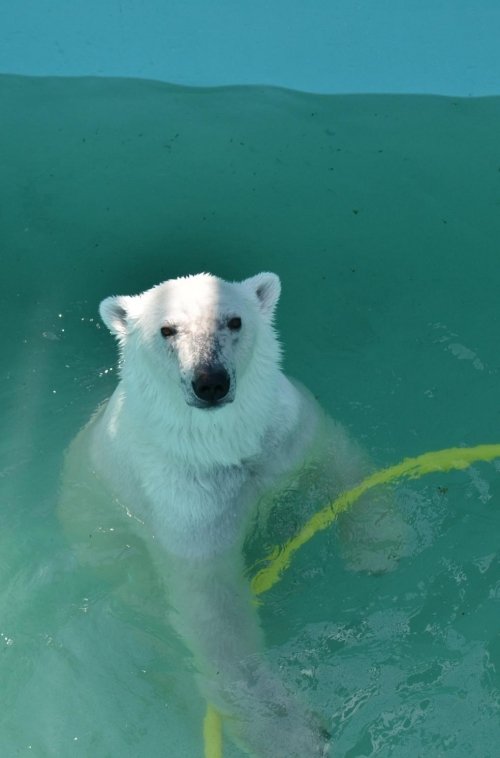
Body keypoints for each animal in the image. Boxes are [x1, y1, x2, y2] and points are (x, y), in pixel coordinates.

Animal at [62, 274, 406, 758]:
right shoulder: (182, 502)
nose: (211, 382)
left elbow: (339, 460)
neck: (224, 446)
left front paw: (379, 545)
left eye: (234, 320)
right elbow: (214, 614)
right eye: (166, 330)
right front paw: (289, 733)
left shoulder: (284, 430)